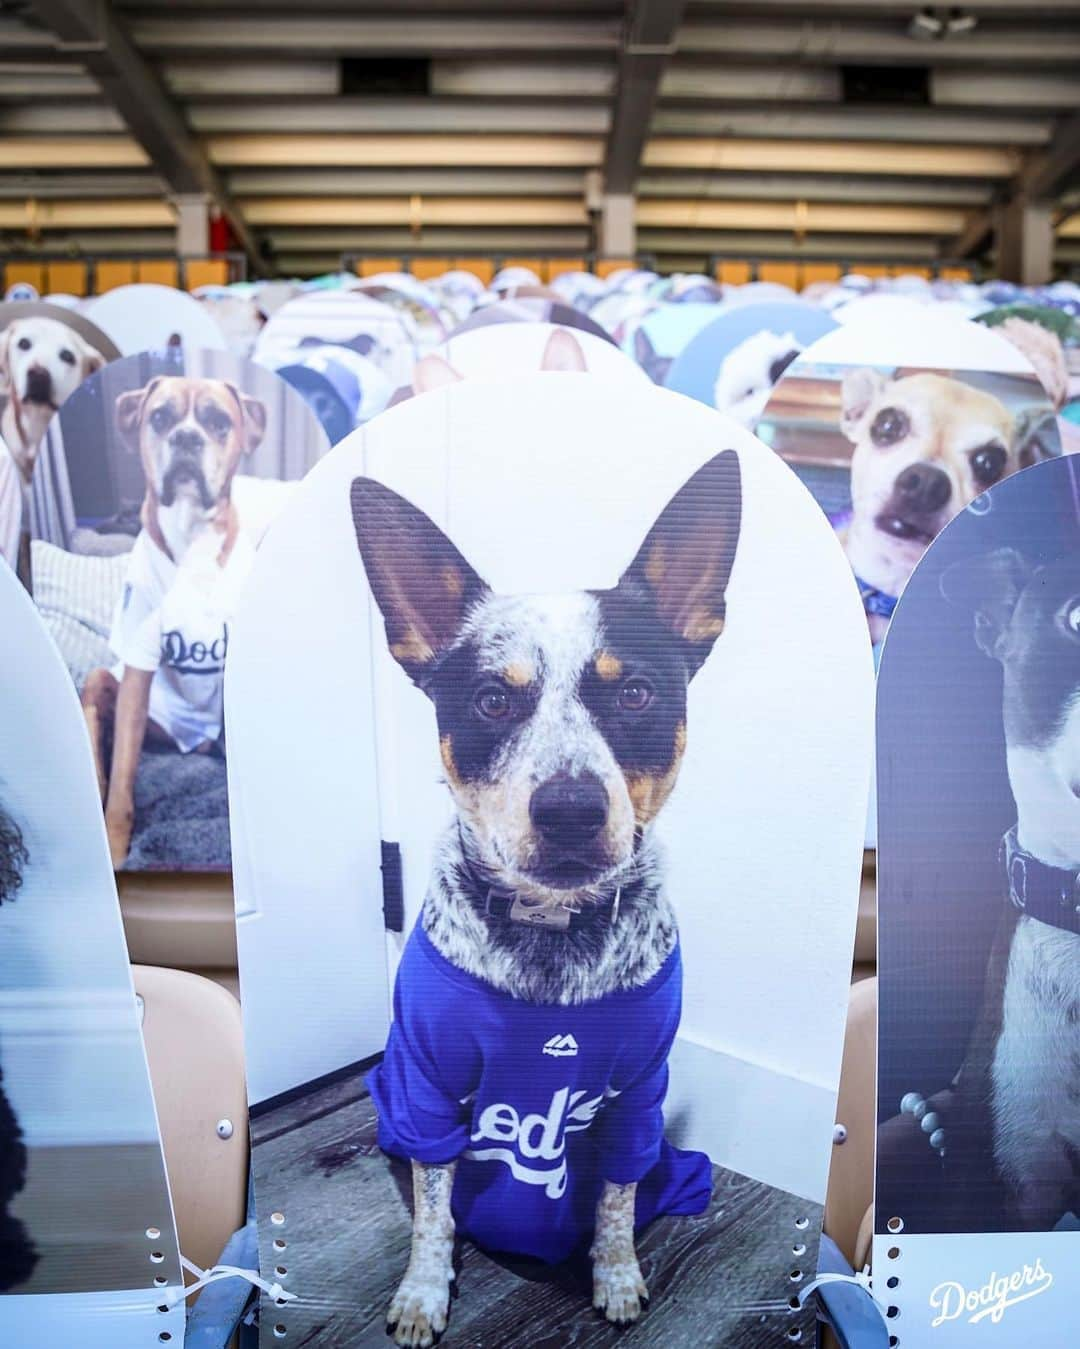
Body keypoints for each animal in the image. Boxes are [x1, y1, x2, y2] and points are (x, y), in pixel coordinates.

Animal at [350, 455, 744, 1349]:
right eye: (494, 700)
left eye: (635, 694)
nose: (569, 809)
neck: (549, 938)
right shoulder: (425, 1086)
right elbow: (433, 1212)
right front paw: (424, 1290)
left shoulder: (638, 1096)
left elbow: (617, 1202)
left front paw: (618, 1274)